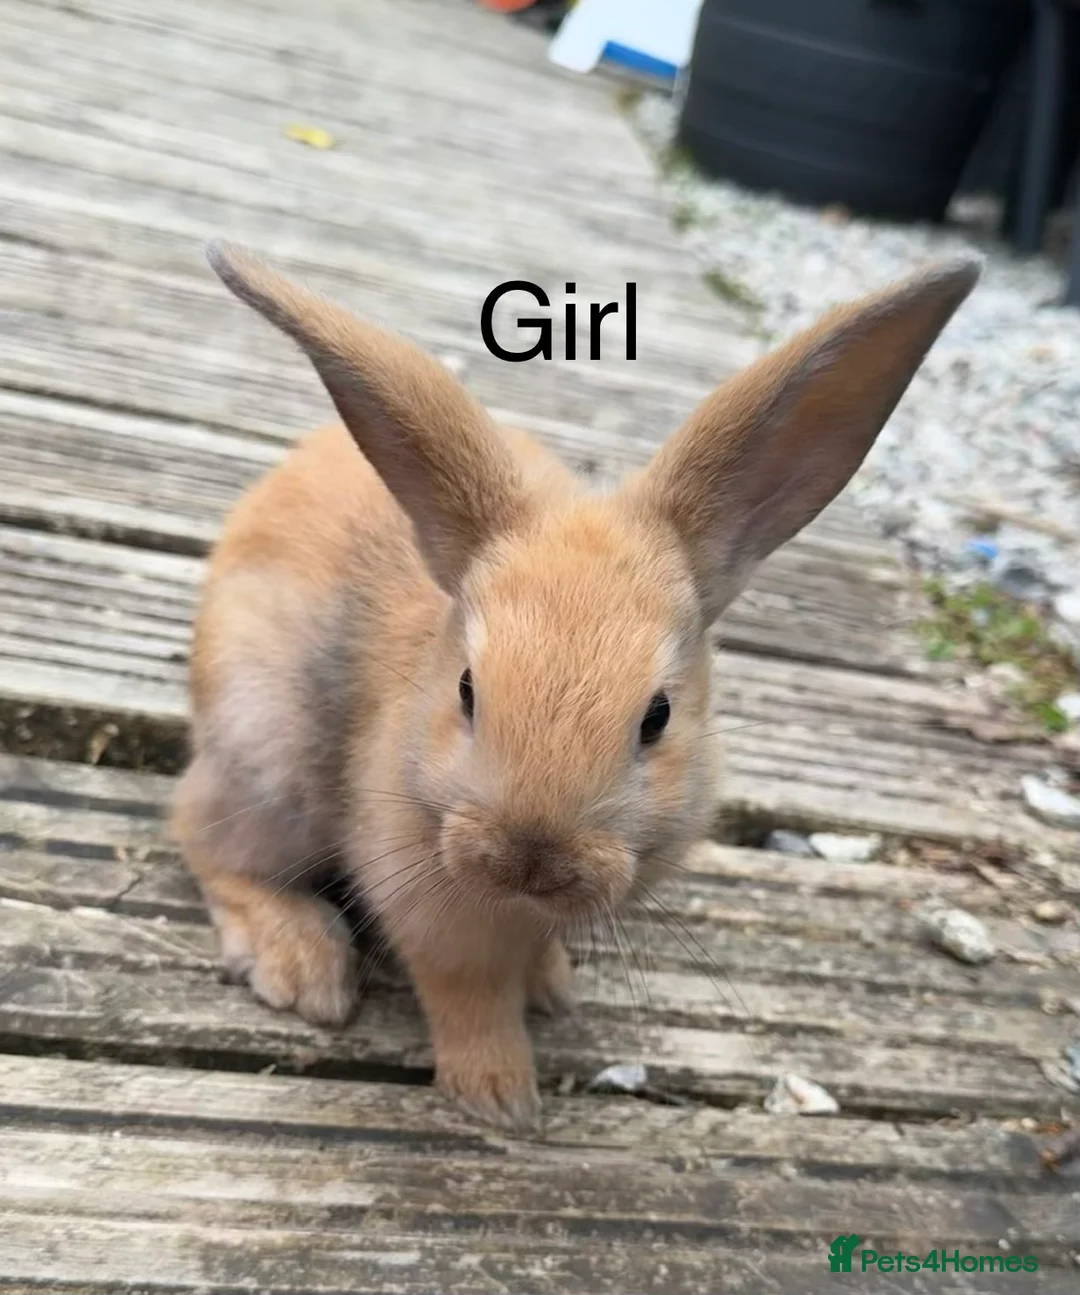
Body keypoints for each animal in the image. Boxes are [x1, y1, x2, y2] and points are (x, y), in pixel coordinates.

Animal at [172, 241, 979, 1131]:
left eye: (657, 716)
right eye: (467, 691)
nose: (533, 857)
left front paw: (551, 991)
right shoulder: (435, 919)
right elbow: (469, 1000)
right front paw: (500, 1100)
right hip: (265, 755)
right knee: (202, 836)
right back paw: (302, 963)